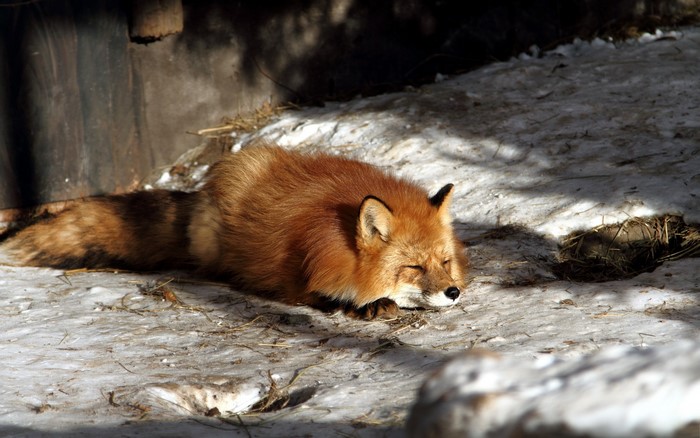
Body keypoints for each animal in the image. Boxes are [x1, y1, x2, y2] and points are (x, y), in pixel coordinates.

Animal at [2, 145, 468, 319]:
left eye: (445, 262)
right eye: (413, 267)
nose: (453, 292)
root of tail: (202, 192)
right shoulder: (297, 275)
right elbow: (321, 295)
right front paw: (364, 305)